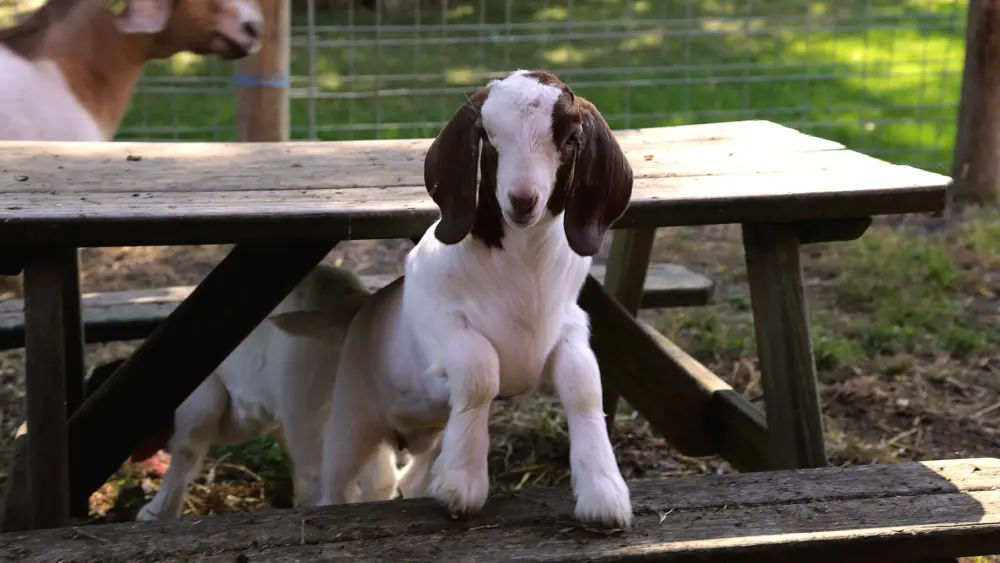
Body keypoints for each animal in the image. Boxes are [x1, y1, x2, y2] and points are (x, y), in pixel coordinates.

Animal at [84, 265, 402, 521]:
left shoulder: (198, 408)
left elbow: (183, 463)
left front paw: (157, 513)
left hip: (308, 414)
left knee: (329, 480)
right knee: (381, 479)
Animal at [275, 69, 634, 528]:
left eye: (571, 139)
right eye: (488, 137)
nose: (522, 201)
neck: (524, 270)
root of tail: (361, 313)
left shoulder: (569, 326)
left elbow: (584, 386)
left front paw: (604, 495)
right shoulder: (438, 318)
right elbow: (480, 371)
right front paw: (464, 485)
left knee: (411, 478)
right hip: (352, 419)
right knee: (336, 483)